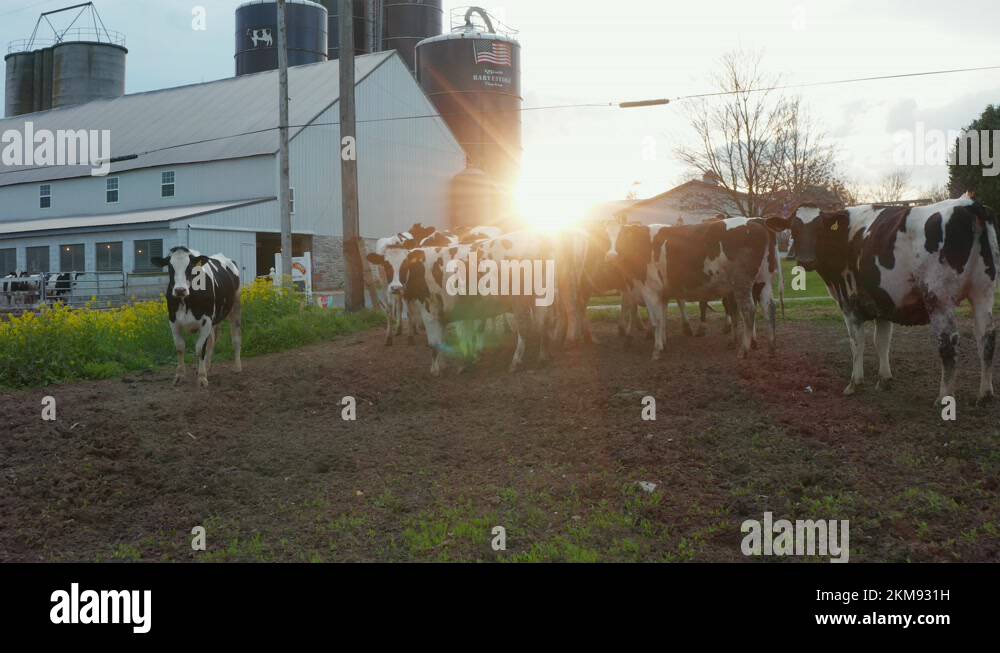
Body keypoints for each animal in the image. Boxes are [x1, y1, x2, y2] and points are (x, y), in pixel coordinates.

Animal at [151, 246, 243, 388]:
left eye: (190, 267)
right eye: (170, 267)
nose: (180, 290)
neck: (186, 301)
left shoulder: (206, 321)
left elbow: (200, 349)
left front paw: (201, 377)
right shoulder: (173, 321)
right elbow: (180, 347)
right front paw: (179, 376)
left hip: (235, 307)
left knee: (235, 338)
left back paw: (237, 367)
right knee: (212, 341)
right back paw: (208, 367)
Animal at [768, 192, 996, 402]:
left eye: (819, 229)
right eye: (794, 229)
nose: (806, 260)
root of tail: (968, 204)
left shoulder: (850, 305)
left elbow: (857, 342)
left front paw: (854, 382)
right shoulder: (884, 302)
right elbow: (882, 341)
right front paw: (884, 379)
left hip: (939, 297)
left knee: (949, 344)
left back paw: (944, 397)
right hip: (983, 292)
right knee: (986, 337)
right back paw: (985, 394)